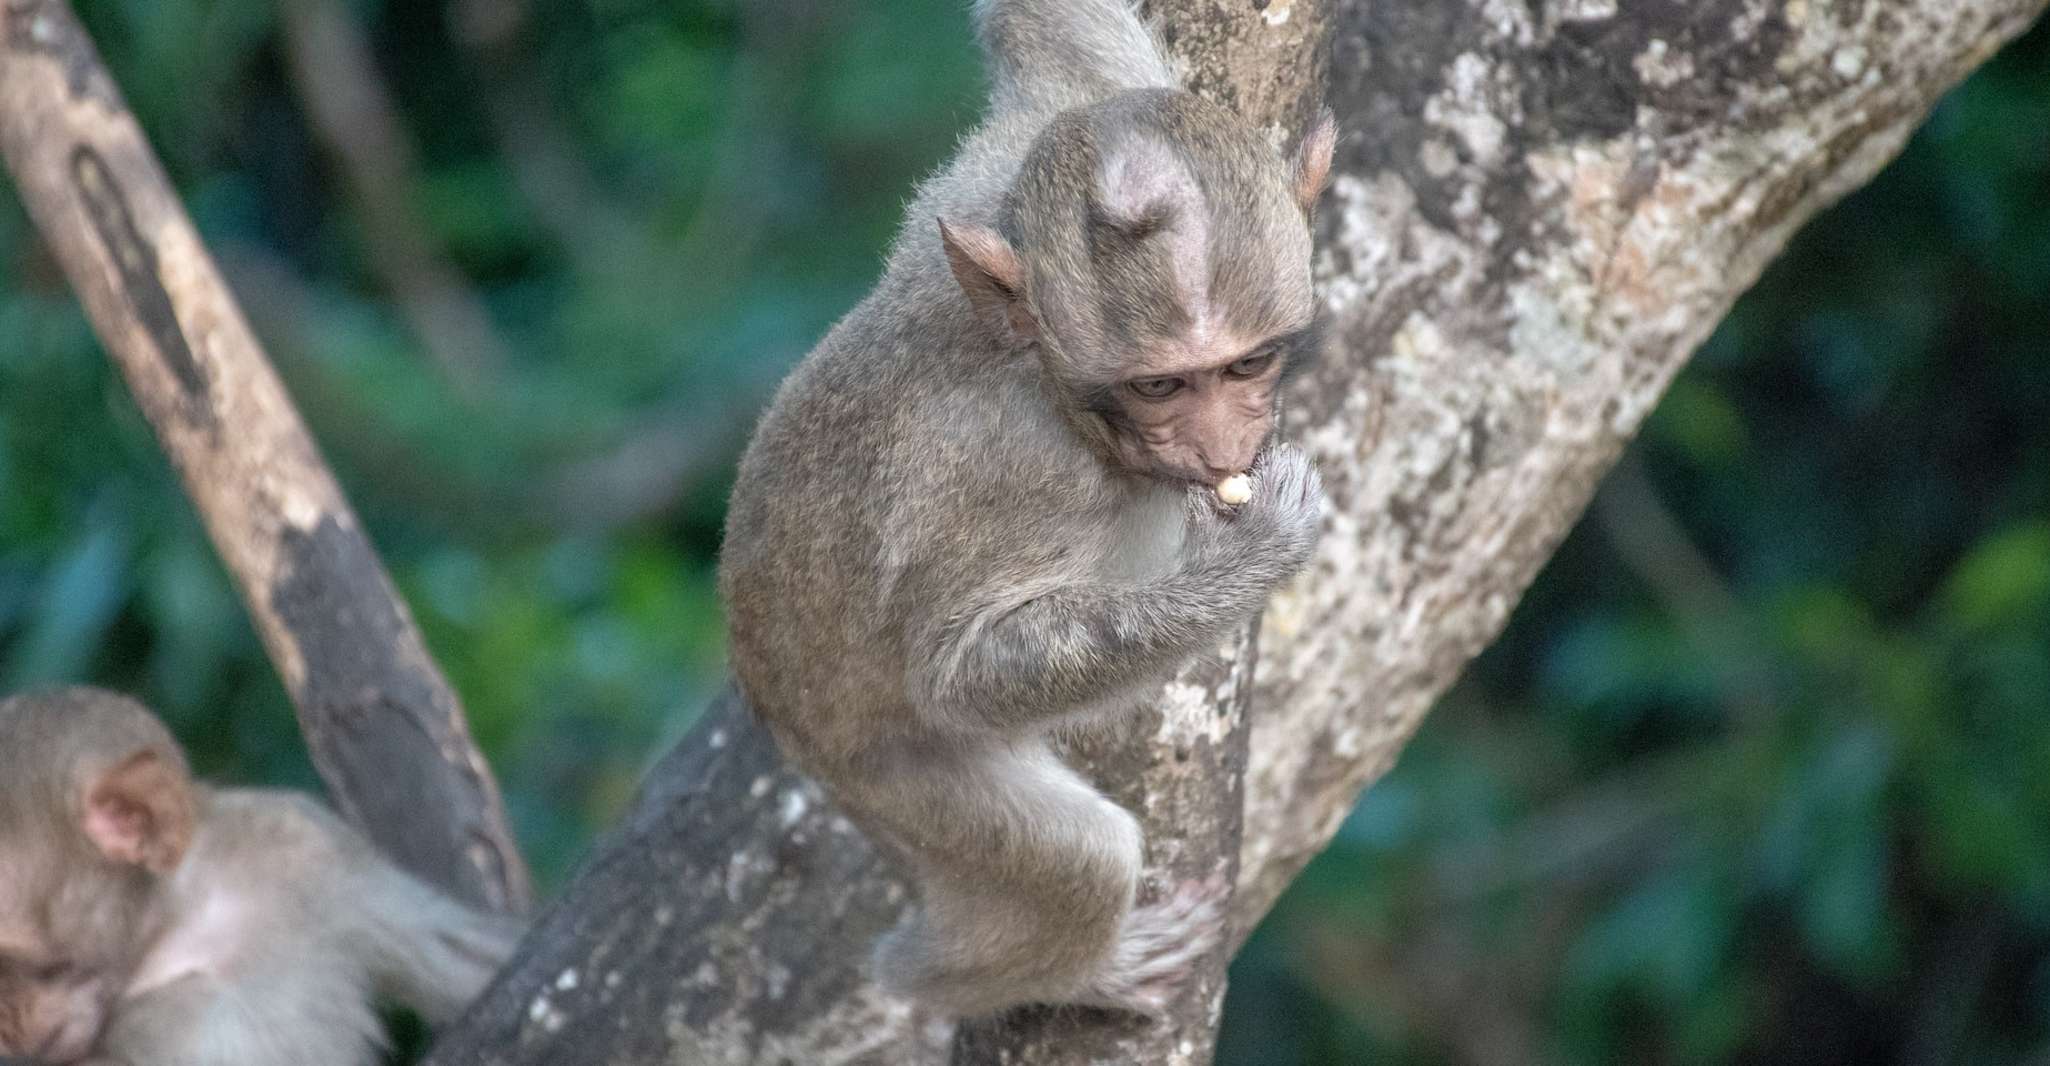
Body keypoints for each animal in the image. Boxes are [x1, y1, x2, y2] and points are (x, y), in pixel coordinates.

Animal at [713, 0, 1336, 1020]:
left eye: (1246, 364)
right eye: (1160, 386)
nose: (1218, 451)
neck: (1053, 389)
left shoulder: (1029, 145)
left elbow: (1049, 42)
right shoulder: (1011, 476)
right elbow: (958, 668)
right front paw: (1254, 557)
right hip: (890, 774)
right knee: (1078, 857)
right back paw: (1025, 974)